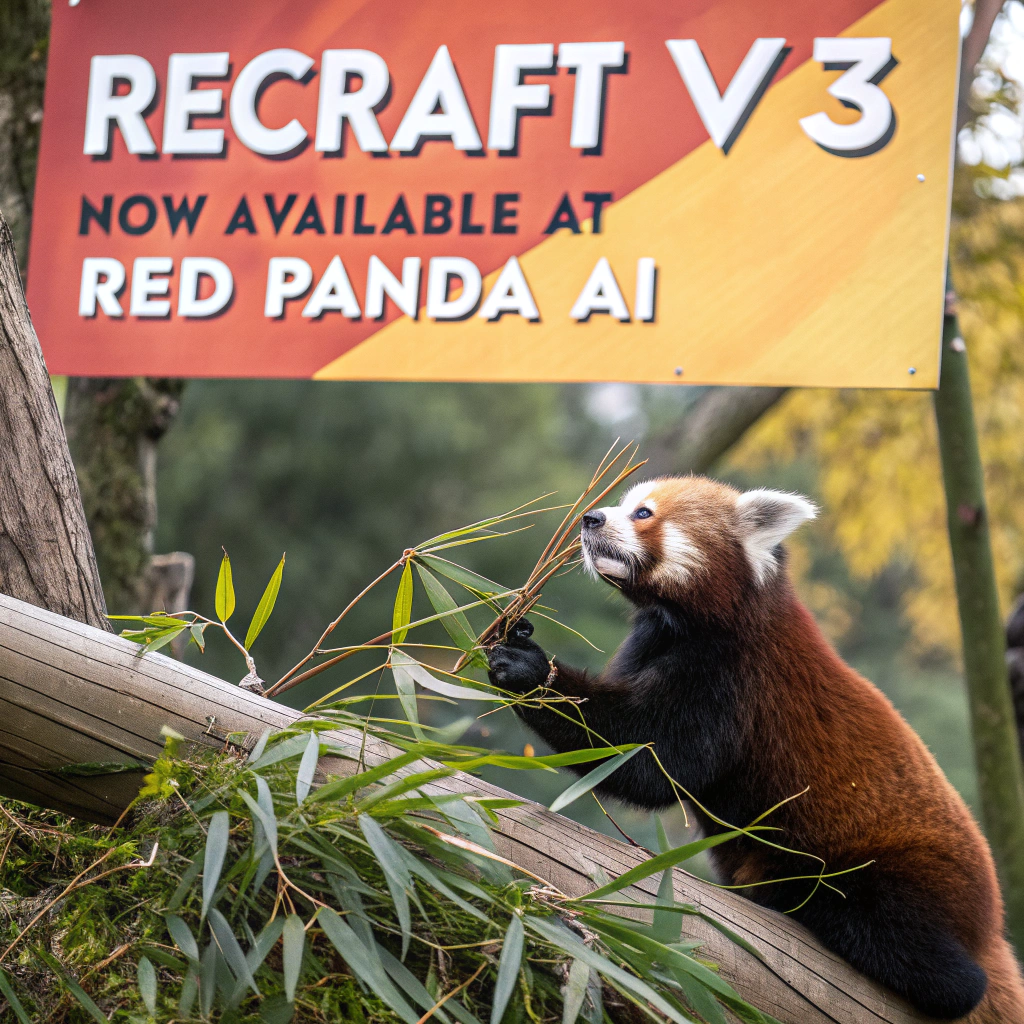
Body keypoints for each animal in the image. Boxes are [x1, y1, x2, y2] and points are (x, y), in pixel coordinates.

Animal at [487, 476, 1024, 1022]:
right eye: (623, 504)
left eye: (643, 513)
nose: (590, 518)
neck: (695, 621)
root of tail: (990, 932)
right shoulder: (653, 642)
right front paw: (515, 632)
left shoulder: (737, 677)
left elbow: (649, 759)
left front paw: (532, 670)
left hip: (909, 873)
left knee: (935, 964)